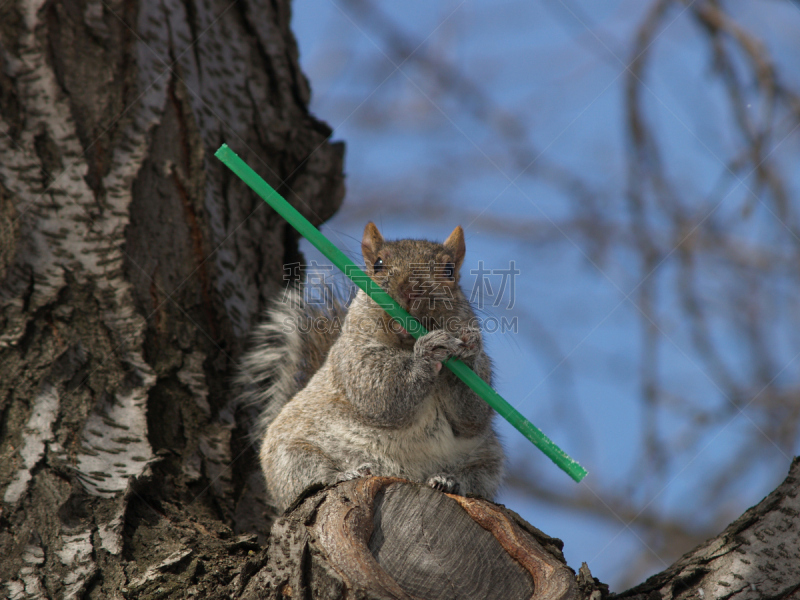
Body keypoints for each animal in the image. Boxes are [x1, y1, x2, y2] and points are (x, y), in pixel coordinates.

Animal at [234, 223, 506, 512]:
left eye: (449, 270)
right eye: (378, 264)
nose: (411, 291)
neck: (406, 344)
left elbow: (471, 417)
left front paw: (468, 348)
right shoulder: (352, 359)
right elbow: (380, 392)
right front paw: (427, 353)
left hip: (488, 460)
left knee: (475, 477)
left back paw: (449, 480)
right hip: (290, 453)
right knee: (308, 476)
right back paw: (345, 473)